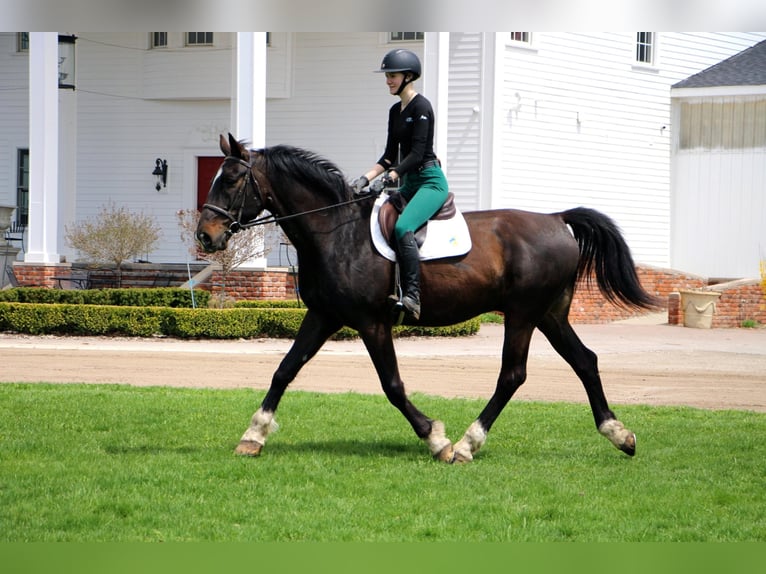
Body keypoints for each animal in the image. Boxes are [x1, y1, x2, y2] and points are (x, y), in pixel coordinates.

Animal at [196, 134, 660, 464]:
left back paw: (468, 444)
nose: (205, 235)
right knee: (585, 361)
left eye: (232, 180)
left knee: (513, 375)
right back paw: (620, 435)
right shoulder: (323, 315)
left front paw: (435, 438)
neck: (336, 232)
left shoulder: (371, 322)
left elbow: (392, 385)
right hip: (549, 314)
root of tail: (555, 220)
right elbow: (284, 371)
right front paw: (253, 435)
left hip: (523, 313)